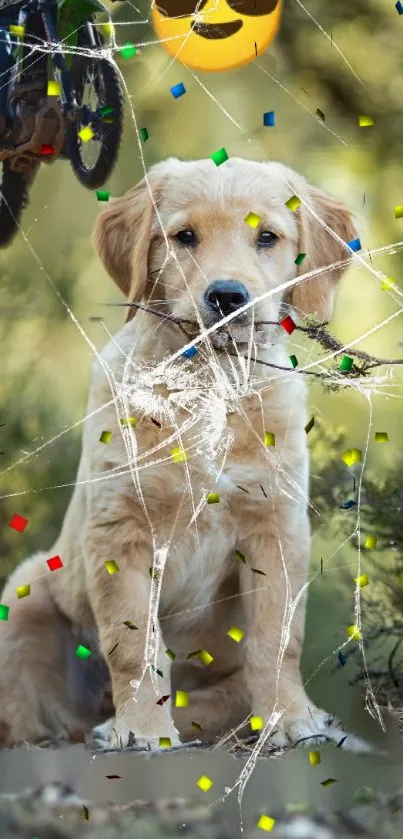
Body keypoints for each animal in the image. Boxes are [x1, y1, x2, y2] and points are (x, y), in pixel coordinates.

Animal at [0, 158, 360, 748]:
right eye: (184, 237)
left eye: (267, 237)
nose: (228, 296)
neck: (208, 388)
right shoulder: (122, 528)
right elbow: (134, 645)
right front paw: (143, 731)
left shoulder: (275, 526)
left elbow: (277, 638)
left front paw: (292, 719)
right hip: (24, 594)